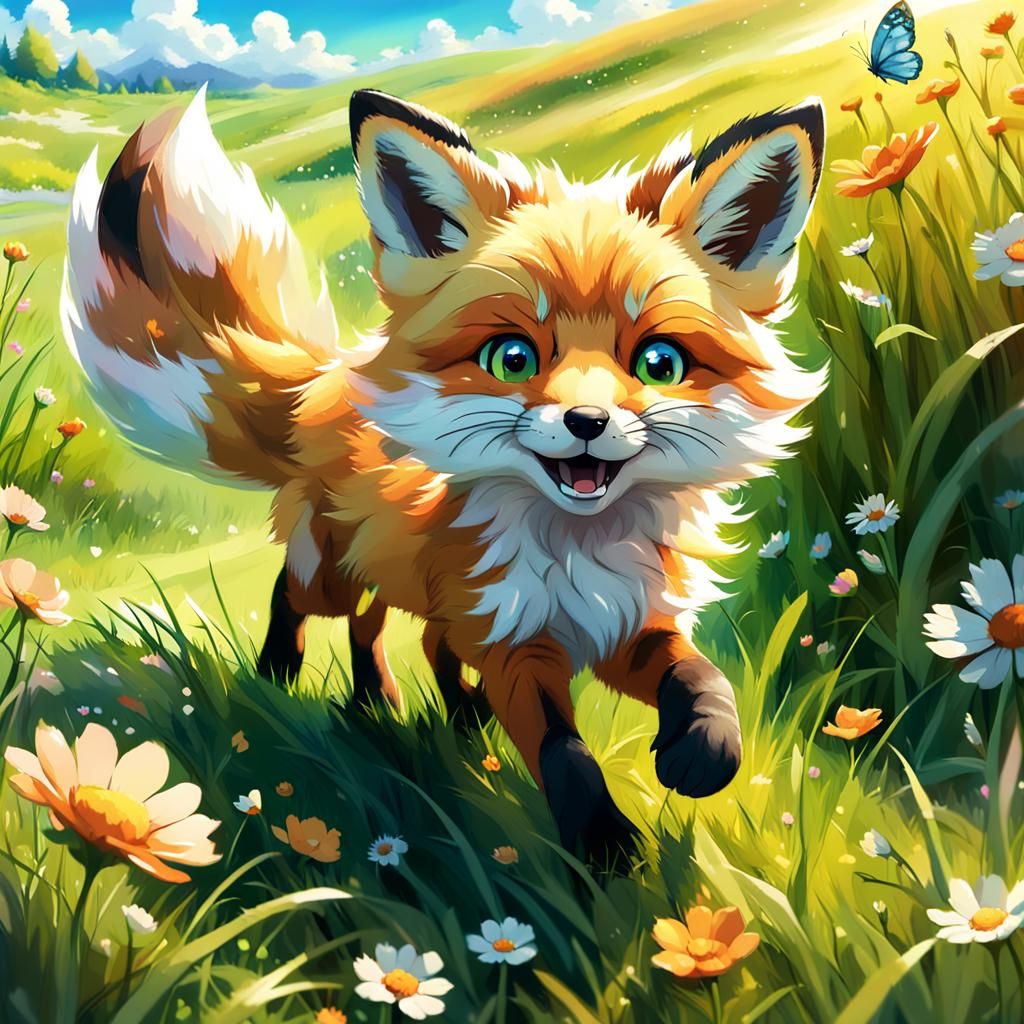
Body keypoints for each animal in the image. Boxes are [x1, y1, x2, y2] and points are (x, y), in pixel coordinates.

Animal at [61, 85, 826, 858]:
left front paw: (702, 753)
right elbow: (562, 751)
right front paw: (605, 845)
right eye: (512, 358)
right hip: (335, 574)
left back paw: (419, 710)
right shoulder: (516, 642)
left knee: (406, 638)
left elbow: (702, 680)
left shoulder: (626, 622)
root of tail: (330, 380)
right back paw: (284, 678)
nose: (587, 422)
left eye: (659, 363)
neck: (577, 552)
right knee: (303, 599)